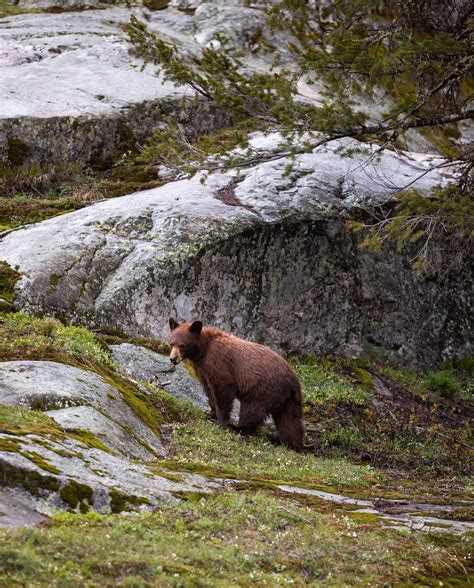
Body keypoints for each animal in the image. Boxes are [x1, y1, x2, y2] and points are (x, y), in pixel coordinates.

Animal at [169, 316, 304, 450]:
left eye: (182, 345)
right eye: (171, 343)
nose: (172, 359)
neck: (203, 351)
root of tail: (292, 380)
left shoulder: (218, 361)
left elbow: (223, 387)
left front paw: (222, 420)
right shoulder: (202, 370)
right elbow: (208, 389)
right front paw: (210, 412)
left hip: (263, 390)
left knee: (253, 410)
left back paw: (239, 428)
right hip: (290, 400)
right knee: (290, 421)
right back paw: (291, 443)